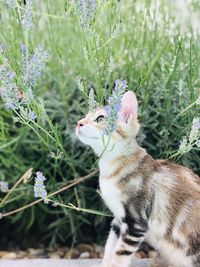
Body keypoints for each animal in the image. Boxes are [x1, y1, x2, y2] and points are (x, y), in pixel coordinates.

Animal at [75, 91, 200, 266]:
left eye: (100, 119)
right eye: (86, 116)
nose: (78, 123)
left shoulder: (136, 223)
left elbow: (119, 255)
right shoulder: (119, 220)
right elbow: (110, 247)